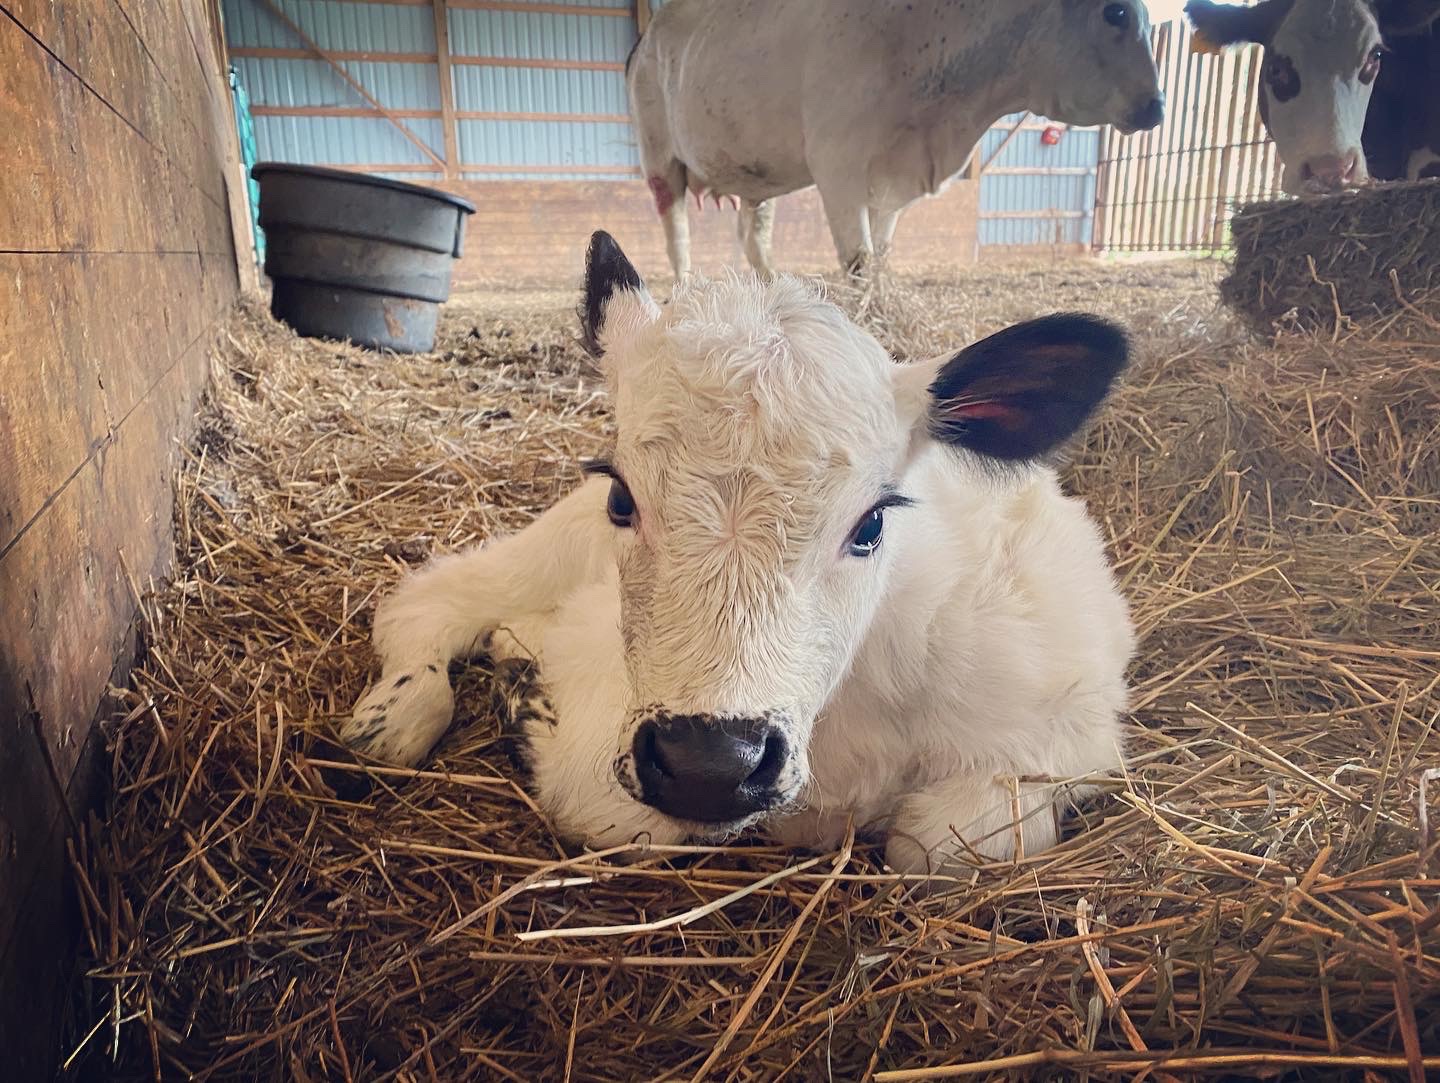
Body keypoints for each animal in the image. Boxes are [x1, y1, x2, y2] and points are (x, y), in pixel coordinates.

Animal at [342, 231, 1137, 876]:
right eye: (623, 498)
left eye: (871, 523)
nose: (710, 765)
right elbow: (607, 807)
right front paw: (527, 702)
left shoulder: (1072, 725)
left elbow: (947, 845)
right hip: (549, 548)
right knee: (430, 601)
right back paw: (392, 717)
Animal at [626, 0, 1165, 279]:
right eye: (1116, 12)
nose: (1157, 106)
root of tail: (646, 38)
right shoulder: (837, 166)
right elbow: (860, 262)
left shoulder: (892, 181)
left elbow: (882, 258)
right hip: (659, 160)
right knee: (677, 240)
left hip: (759, 172)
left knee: (752, 237)